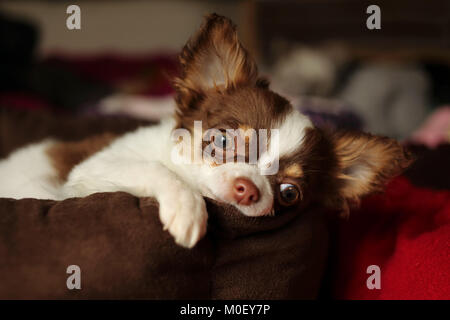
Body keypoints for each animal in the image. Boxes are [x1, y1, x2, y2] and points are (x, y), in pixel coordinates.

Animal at [0, 14, 412, 248]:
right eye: (223, 141)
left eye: (289, 193)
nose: (248, 189)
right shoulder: (92, 171)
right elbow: (156, 169)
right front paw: (187, 210)